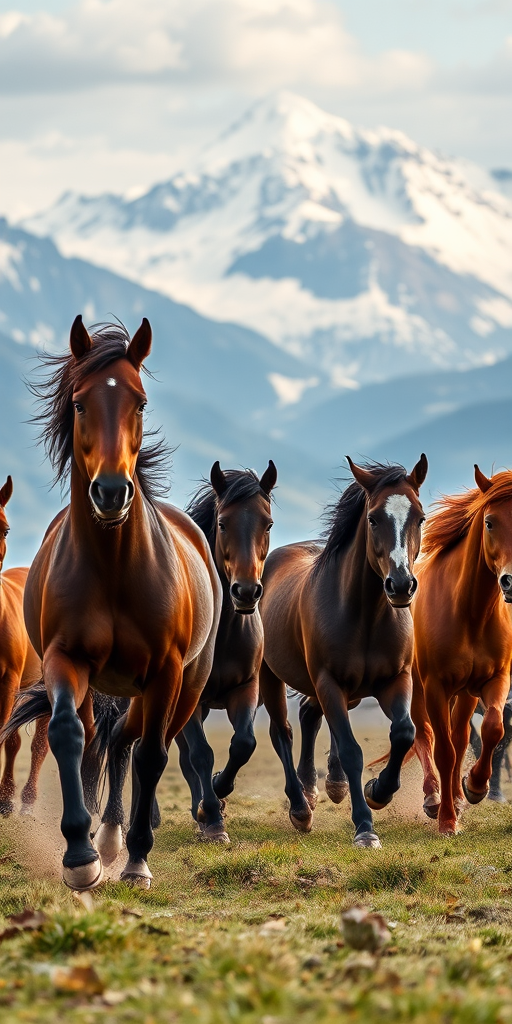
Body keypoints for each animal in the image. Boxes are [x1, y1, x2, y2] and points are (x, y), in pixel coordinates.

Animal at [3, 317, 220, 888]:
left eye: (139, 403)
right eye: (79, 404)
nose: (110, 492)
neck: (115, 568)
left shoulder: (166, 672)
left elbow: (151, 756)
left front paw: (137, 859)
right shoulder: (65, 659)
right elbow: (67, 734)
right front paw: (80, 854)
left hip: (183, 686)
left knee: (134, 740)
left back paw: (120, 839)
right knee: (104, 737)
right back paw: (100, 839)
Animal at [176, 462, 278, 839]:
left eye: (268, 523)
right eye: (222, 523)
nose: (245, 592)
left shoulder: (245, 688)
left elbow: (244, 744)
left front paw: (220, 792)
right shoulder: (188, 698)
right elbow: (201, 754)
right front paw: (211, 816)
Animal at [260, 456, 428, 847]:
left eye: (420, 517)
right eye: (373, 518)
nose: (401, 585)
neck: (365, 614)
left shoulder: (395, 680)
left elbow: (403, 732)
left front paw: (377, 791)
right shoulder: (329, 681)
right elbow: (352, 749)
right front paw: (365, 827)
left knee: (310, 715)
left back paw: (323, 787)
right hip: (271, 675)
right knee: (282, 732)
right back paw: (301, 807)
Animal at [409, 468, 512, 835]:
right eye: (490, 523)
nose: (511, 581)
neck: (470, 612)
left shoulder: (496, 679)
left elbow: (493, 728)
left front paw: (475, 787)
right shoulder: (435, 687)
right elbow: (443, 751)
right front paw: (447, 821)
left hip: (466, 694)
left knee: (460, 734)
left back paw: (456, 795)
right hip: (417, 688)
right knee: (424, 735)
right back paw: (433, 798)